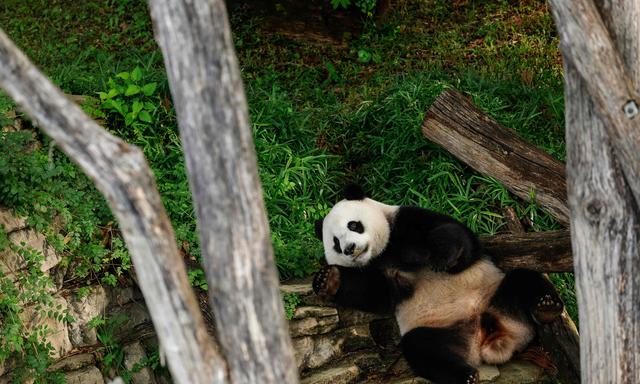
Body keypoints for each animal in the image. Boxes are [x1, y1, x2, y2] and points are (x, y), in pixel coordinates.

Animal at [312, 184, 564, 382]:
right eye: (335, 243)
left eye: (353, 225)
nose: (349, 248)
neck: (383, 253)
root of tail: (487, 338)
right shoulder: (376, 271)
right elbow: (375, 294)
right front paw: (327, 280)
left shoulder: (404, 220)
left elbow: (460, 240)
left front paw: (441, 257)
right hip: (441, 328)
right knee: (422, 349)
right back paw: (465, 375)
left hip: (495, 294)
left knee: (522, 279)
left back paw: (547, 307)